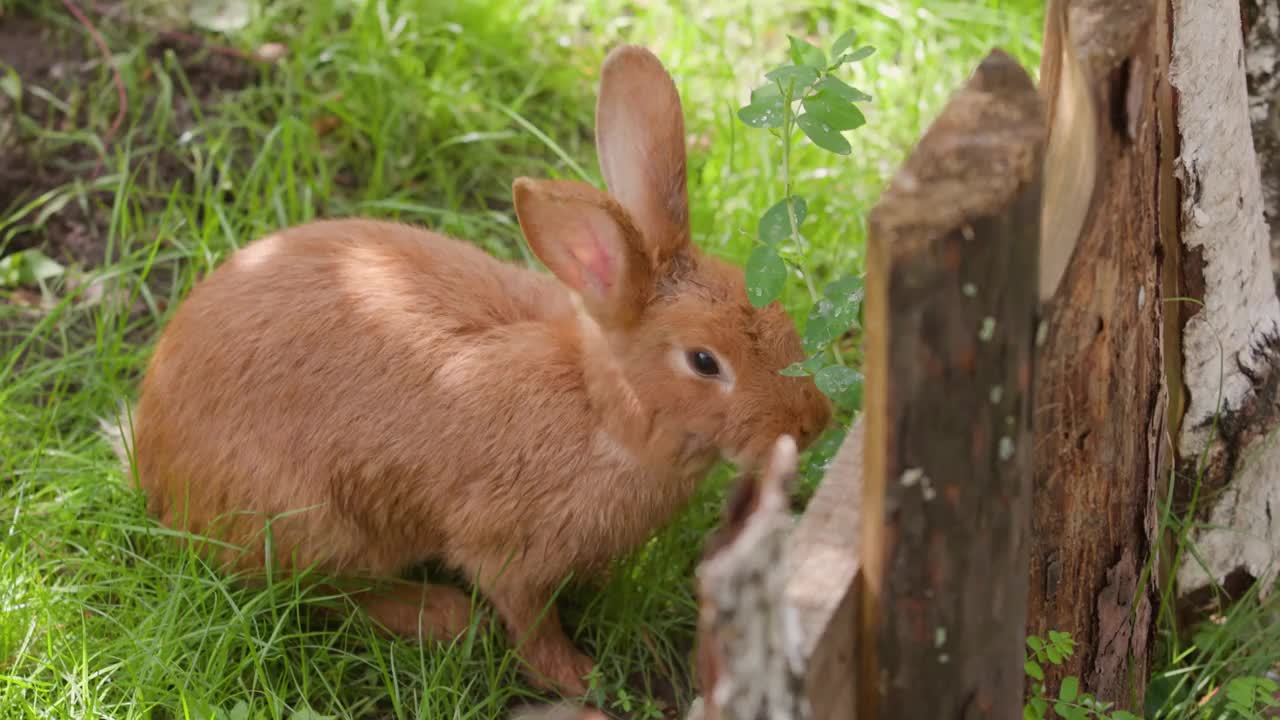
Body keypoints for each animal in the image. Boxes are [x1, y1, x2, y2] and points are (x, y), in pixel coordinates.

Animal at [124, 43, 834, 691]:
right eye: (704, 362)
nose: (813, 423)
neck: (600, 410)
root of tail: (155, 464)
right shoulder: (507, 550)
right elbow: (528, 617)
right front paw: (577, 678)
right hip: (315, 521)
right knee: (320, 590)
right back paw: (441, 616)